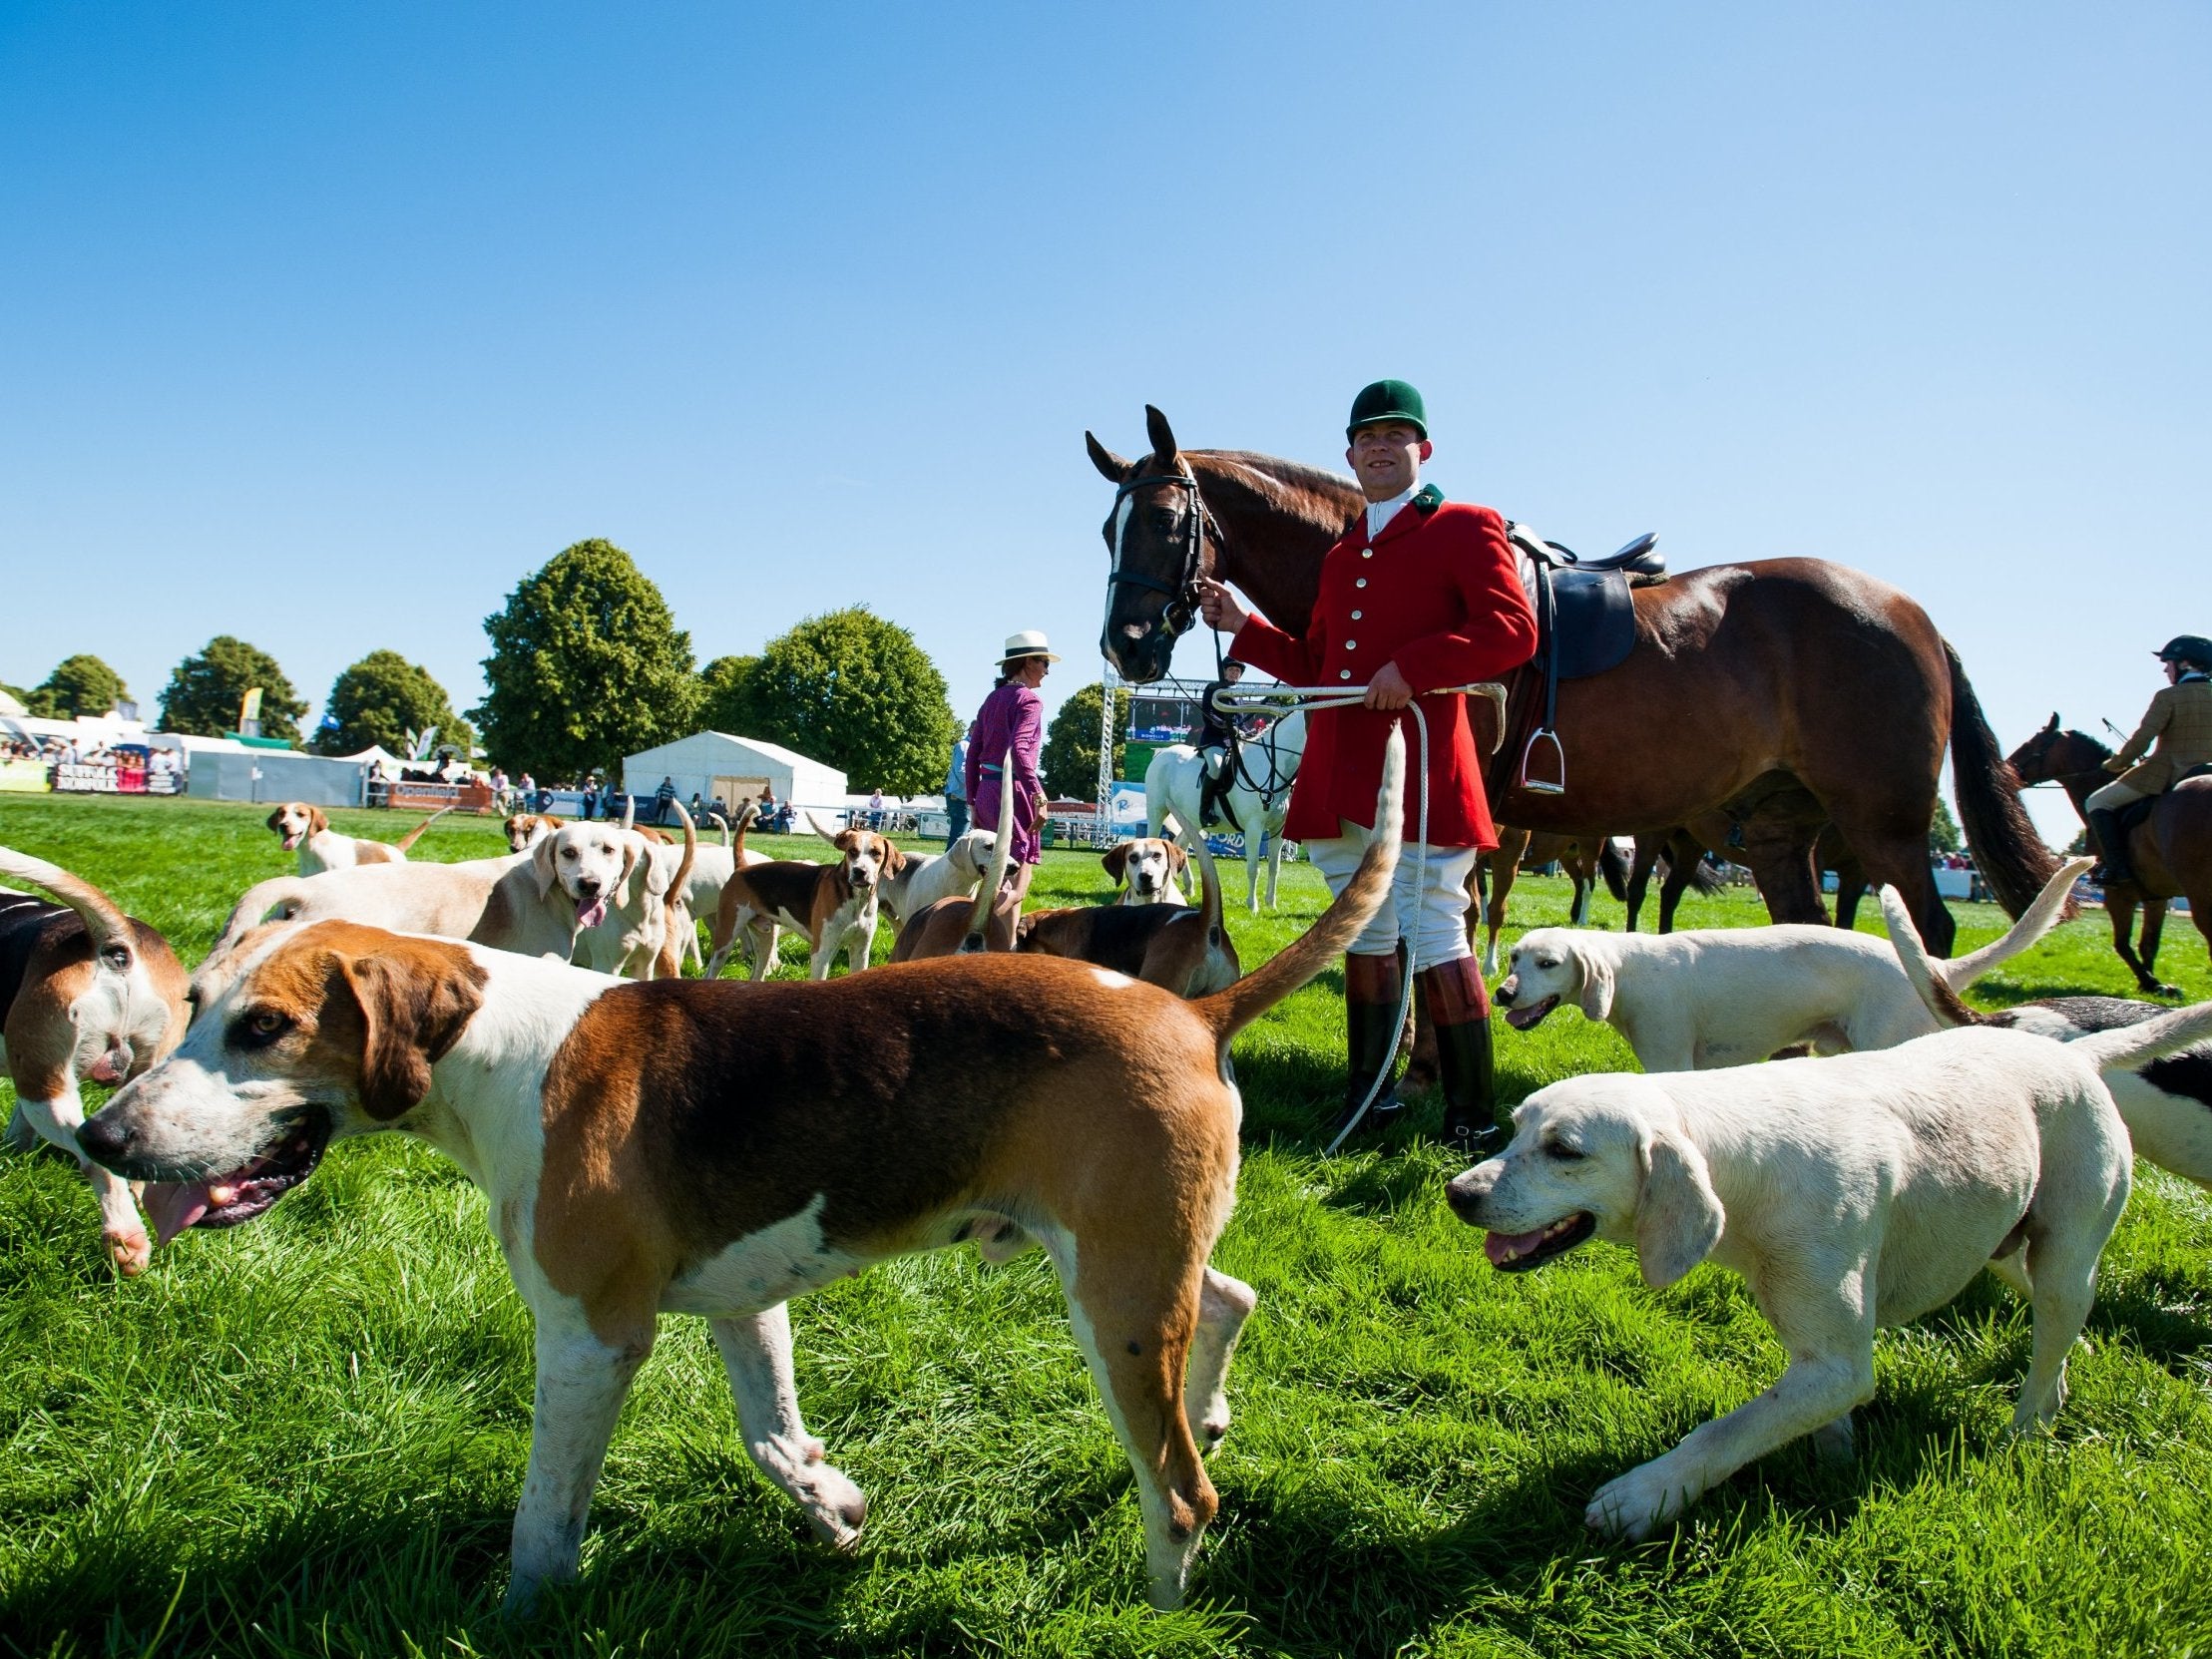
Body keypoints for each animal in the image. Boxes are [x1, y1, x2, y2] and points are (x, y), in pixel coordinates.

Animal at [1149, 711, 1300, 915]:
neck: (1269, 767)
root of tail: (1162, 753)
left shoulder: (1278, 830)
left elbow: (1274, 868)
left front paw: (1271, 904)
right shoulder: (1254, 828)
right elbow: (1253, 868)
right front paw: (1253, 906)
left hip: (1190, 819)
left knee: (1181, 844)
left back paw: (1187, 887)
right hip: (1156, 811)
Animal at [2008, 716, 2212, 1000]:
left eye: (2032, 743)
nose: (2005, 768)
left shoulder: (2118, 893)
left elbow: (2122, 944)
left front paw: (2151, 982)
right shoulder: (2155, 896)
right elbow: (2149, 943)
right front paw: (2151, 984)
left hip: (2198, 892)